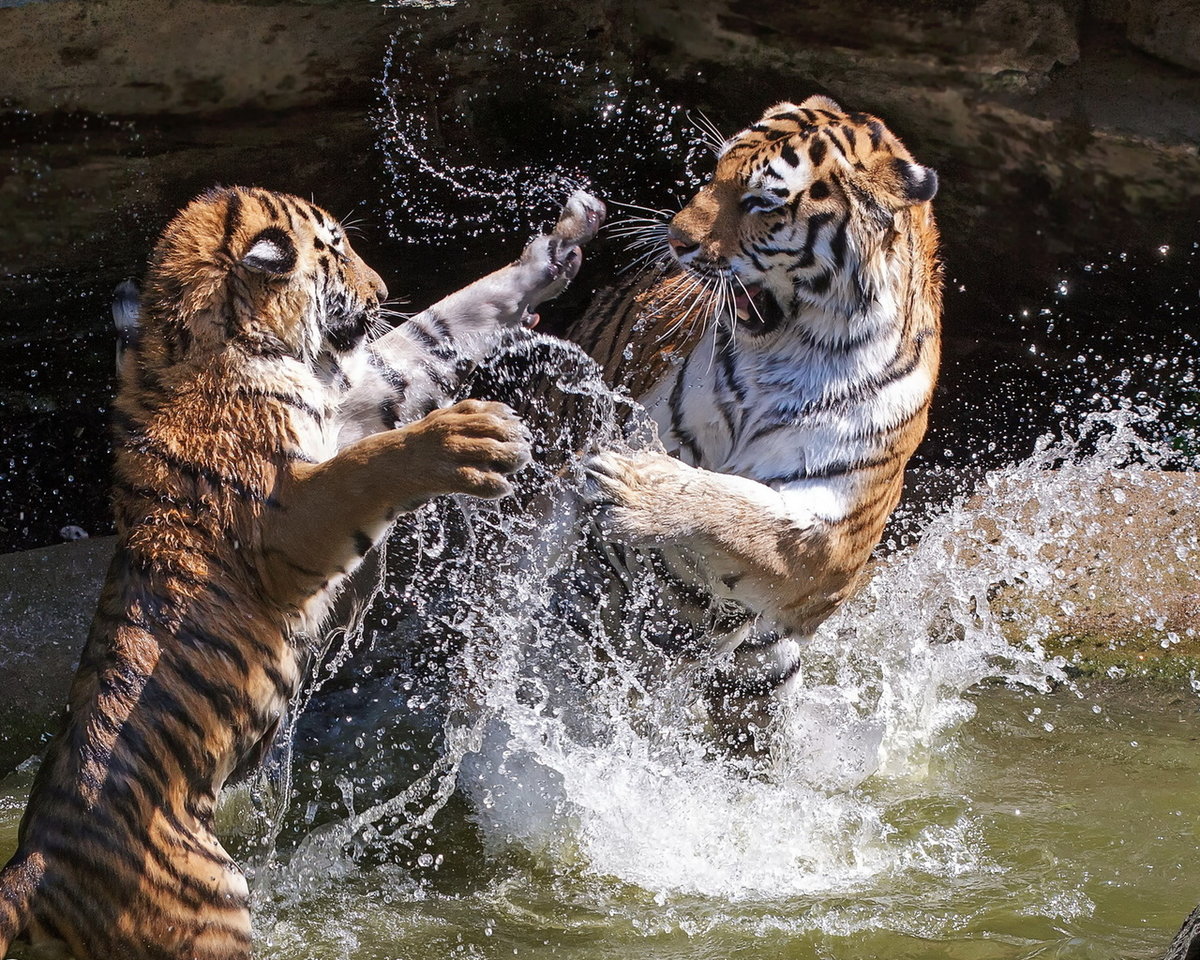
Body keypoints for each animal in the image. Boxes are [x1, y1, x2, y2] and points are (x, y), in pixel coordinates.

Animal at [0, 187, 600, 960]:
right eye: (336, 250)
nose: (381, 290)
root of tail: (30, 867)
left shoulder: (357, 403)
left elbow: (439, 326)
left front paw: (559, 245)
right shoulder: (286, 515)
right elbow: (371, 466)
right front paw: (475, 436)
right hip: (210, 908)